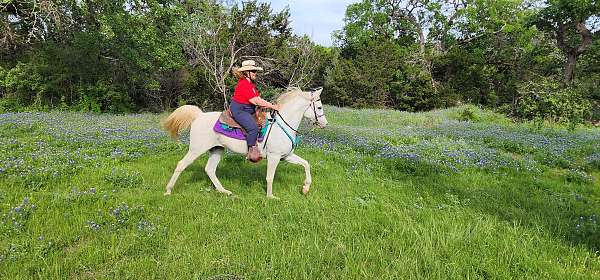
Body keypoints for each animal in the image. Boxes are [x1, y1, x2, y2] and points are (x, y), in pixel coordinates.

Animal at [162, 88, 328, 199]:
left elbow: (306, 164)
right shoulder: (274, 157)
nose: (325, 124)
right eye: (319, 107)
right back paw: (168, 190)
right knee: (181, 165)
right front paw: (271, 197)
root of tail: (199, 116)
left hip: (217, 149)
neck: (282, 125)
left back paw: (224, 191)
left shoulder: (286, 156)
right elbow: (270, 177)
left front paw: (306, 188)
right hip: (196, 150)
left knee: (210, 170)